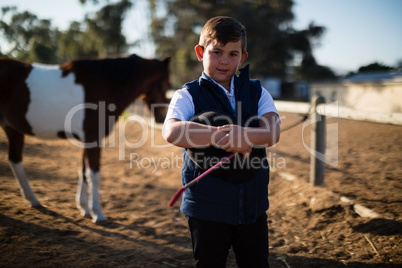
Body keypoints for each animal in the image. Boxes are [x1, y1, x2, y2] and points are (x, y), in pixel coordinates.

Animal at [0, 54, 170, 222]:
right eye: (166, 84)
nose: (162, 117)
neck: (105, 84)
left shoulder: (88, 140)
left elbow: (83, 172)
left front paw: (84, 208)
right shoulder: (93, 138)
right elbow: (93, 174)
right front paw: (97, 213)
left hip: (12, 129)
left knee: (15, 160)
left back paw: (33, 199)